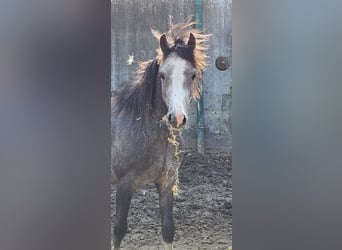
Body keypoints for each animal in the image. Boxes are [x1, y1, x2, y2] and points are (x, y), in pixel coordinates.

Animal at [111, 20, 210, 249]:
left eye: (193, 74)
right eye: (163, 75)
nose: (177, 118)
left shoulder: (166, 182)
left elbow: (167, 230)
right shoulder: (124, 185)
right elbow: (118, 231)